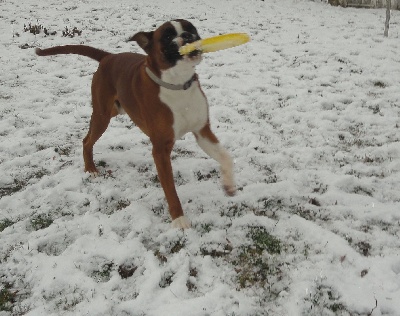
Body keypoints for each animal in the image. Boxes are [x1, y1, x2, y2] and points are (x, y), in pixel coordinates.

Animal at [36, 18, 236, 228]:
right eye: (167, 36)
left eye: (191, 29)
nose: (188, 36)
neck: (178, 84)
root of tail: (109, 57)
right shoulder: (160, 150)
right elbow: (170, 189)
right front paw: (179, 219)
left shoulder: (202, 132)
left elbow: (226, 158)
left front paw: (229, 184)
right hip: (102, 116)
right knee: (87, 140)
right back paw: (90, 168)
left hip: (114, 110)